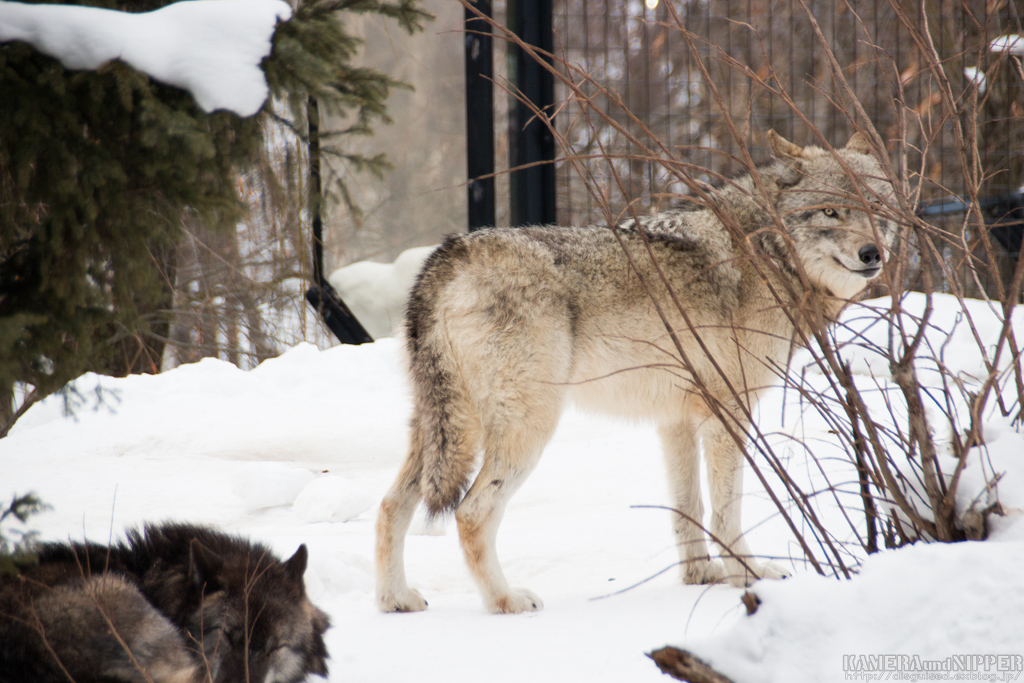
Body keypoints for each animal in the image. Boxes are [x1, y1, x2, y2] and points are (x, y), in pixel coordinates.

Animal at [376, 127, 897, 614]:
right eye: (831, 212)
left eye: (875, 206)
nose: (873, 254)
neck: (764, 249)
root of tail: (453, 253)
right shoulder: (728, 414)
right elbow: (727, 510)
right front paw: (747, 576)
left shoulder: (677, 421)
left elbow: (689, 508)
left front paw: (699, 576)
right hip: (525, 429)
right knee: (471, 512)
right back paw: (506, 601)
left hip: (440, 433)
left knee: (390, 506)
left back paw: (395, 599)